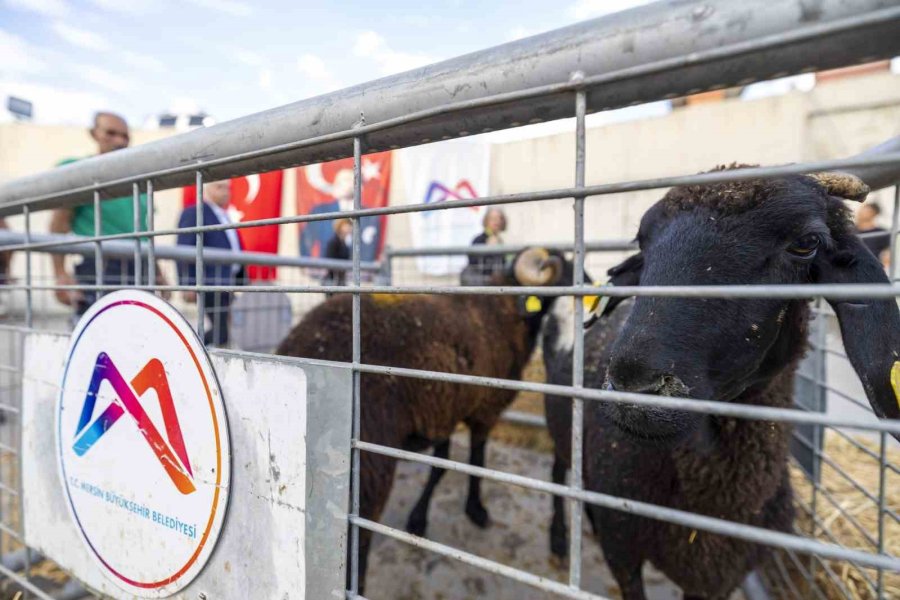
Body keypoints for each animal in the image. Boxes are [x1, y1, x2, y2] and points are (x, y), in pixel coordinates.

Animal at [540, 170, 900, 600]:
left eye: (806, 243)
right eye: (643, 243)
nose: (634, 386)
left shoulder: (715, 578)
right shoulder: (622, 553)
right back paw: (559, 538)